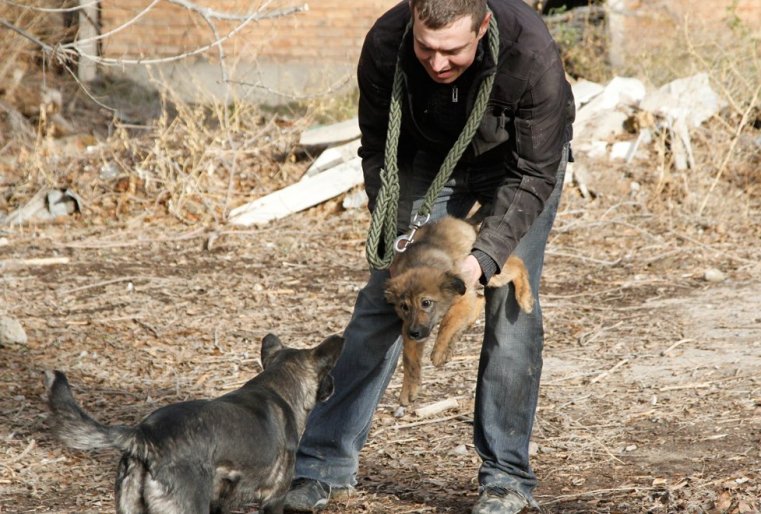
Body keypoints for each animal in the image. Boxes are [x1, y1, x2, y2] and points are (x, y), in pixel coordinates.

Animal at [382, 216, 532, 404]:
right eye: (404, 307)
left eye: (426, 303)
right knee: (481, 300)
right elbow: (410, 358)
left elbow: (446, 324)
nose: (414, 333)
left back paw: (525, 297)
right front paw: (409, 388)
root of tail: (465, 221)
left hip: (489, 270)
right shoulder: (408, 326)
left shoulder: (462, 298)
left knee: (518, 264)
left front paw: (439, 353)